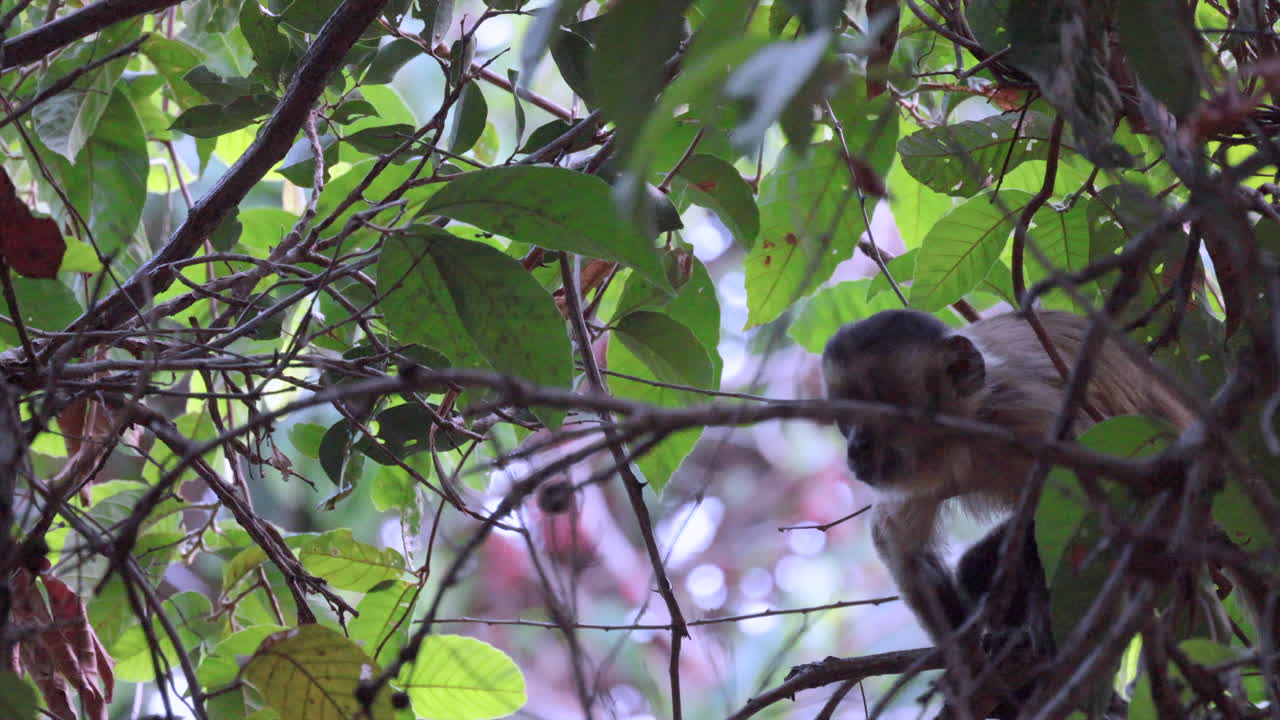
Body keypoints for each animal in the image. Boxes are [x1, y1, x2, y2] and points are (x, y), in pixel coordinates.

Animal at [821, 309, 1195, 715]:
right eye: (845, 419)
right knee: (973, 568)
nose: (856, 448)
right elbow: (903, 549)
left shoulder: (1033, 415)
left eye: (877, 408)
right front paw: (968, 670)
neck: (967, 435)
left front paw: (1042, 614)